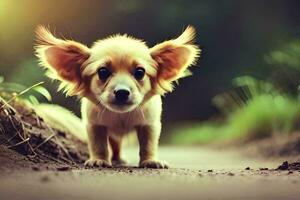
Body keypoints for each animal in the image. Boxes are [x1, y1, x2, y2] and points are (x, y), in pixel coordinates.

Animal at [34, 25, 199, 169]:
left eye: (140, 72)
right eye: (103, 72)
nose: (122, 92)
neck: (121, 116)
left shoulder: (149, 124)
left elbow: (148, 145)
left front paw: (150, 161)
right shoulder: (95, 125)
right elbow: (99, 145)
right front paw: (99, 160)